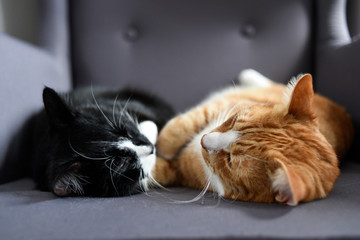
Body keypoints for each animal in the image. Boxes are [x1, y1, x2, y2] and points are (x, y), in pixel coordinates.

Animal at [153, 69, 352, 206]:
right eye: (233, 120)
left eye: (229, 160)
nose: (203, 140)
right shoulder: (221, 106)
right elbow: (183, 124)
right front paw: (163, 145)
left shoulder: (182, 172)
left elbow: (162, 171)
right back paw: (249, 74)